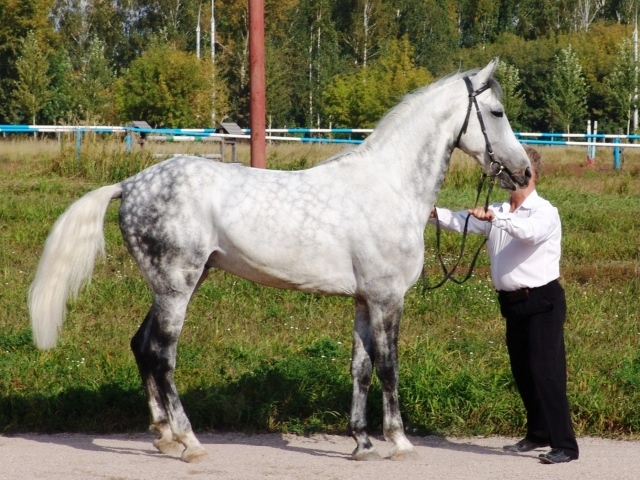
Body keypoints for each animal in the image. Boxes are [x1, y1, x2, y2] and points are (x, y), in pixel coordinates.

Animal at [29, 59, 530, 463]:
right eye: (498, 113)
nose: (525, 172)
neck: (389, 187)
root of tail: (130, 184)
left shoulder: (365, 300)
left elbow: (361, 368)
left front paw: (362, 443)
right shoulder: (388, 299)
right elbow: (389, 367)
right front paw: (400, 442)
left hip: (173, 285)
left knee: (141, 345)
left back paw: (163, 435)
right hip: (176, 286)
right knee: (161, 354)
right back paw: (189, 442)